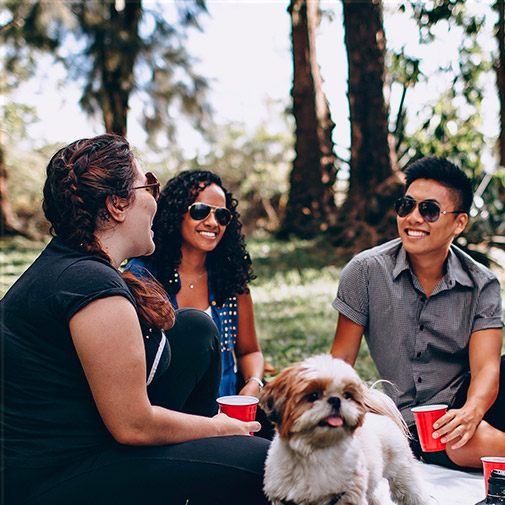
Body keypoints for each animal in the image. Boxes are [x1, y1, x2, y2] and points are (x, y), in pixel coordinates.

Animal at [260, 354, 430, 504]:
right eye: (313, 395)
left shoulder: (350, 495)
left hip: (402, 474)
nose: (335, 400)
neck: (316, 453)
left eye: (347, 395)